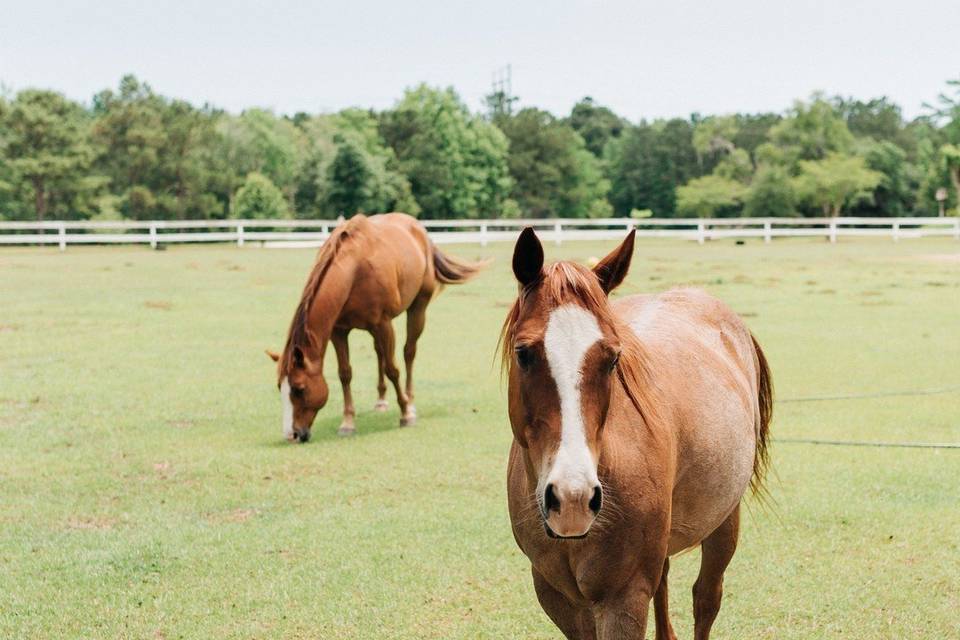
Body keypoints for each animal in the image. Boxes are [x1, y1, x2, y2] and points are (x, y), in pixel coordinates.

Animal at [266, 212, 484, 442]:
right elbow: (345, 373)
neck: (354, 270)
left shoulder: (383, 324)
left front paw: (405, 414)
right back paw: (381, 401)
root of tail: (420, 230)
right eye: (280, 387)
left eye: (299, 388)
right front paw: (348, 423)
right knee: (380, 352)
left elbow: (392, 369)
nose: (292, 435)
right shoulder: (339, 331)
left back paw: (410, 401)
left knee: (408, 352)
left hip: (417, 308)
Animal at [502, 228, 772, 636]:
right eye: (523, 353)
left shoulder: (623, 598)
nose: (572, 496)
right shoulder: (559, 599)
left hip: (724, 520)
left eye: (613, 358)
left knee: (706, 598)